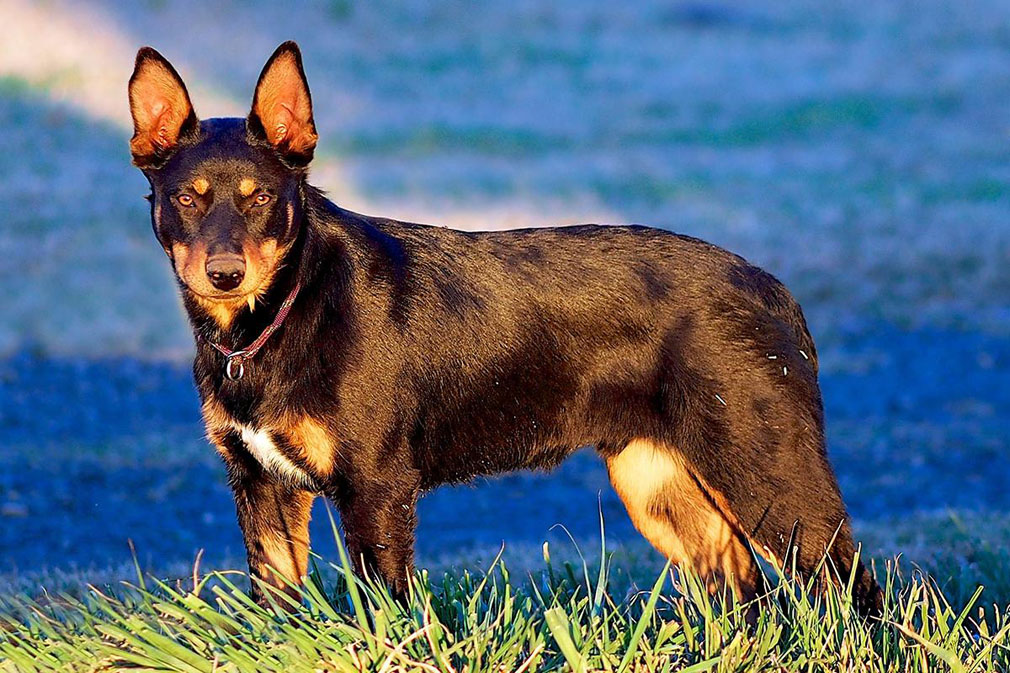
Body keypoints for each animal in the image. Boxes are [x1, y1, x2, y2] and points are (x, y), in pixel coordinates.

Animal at [128, 39, 884, 610]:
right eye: (187, 199)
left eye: (261, 198)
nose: (225, 273)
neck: (287, 313)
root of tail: (773, 292)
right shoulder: (262, 485)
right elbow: (279, 608)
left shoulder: (376, 487)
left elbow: (382, 610)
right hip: (658, 483)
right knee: (744, 589)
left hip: (770, 475)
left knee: (852, 587)